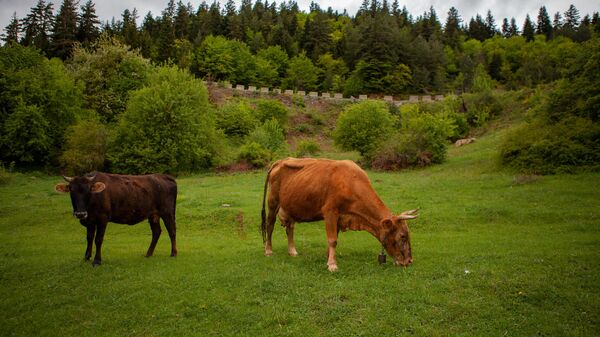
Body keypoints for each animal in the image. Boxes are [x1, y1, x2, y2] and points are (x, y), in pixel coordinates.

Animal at [260, 157, 420, 270]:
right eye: (402, 236)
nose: (409, 261)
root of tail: (281, 161)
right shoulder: (330, 212)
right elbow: (333, 240)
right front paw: (332, 264)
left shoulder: (340, 216)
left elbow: (334, 238)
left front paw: (327, 257)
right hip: (273, 202)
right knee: (270, 225)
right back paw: (268, 251)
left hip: (290, 206)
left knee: (290, 228)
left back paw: (292, 251)